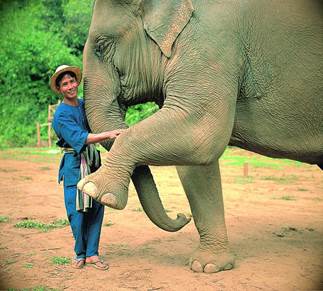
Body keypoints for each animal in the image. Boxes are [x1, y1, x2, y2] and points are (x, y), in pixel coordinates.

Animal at [78, 0, 323, 274]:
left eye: (101, 46)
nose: (181, 216)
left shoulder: (212, 40)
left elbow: (202, 130)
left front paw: (94, 190)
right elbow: (195, 162)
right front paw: (207, 266)